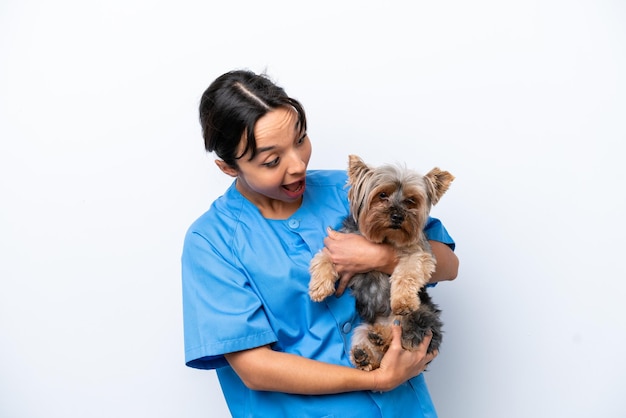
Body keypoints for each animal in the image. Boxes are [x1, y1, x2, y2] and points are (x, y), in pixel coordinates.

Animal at [308, 155, 450, 370]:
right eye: (382, 195)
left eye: (411, 200)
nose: (397, 216)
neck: (386, 238)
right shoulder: (338, 246)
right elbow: (322, 258)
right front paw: (319, 287)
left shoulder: (418, 253)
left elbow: (408, 272)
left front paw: (403, 300)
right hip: (363, 328)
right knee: (375, 352)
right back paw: (366, 352)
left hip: (421, 315)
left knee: (403, 336)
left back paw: (382, 336)